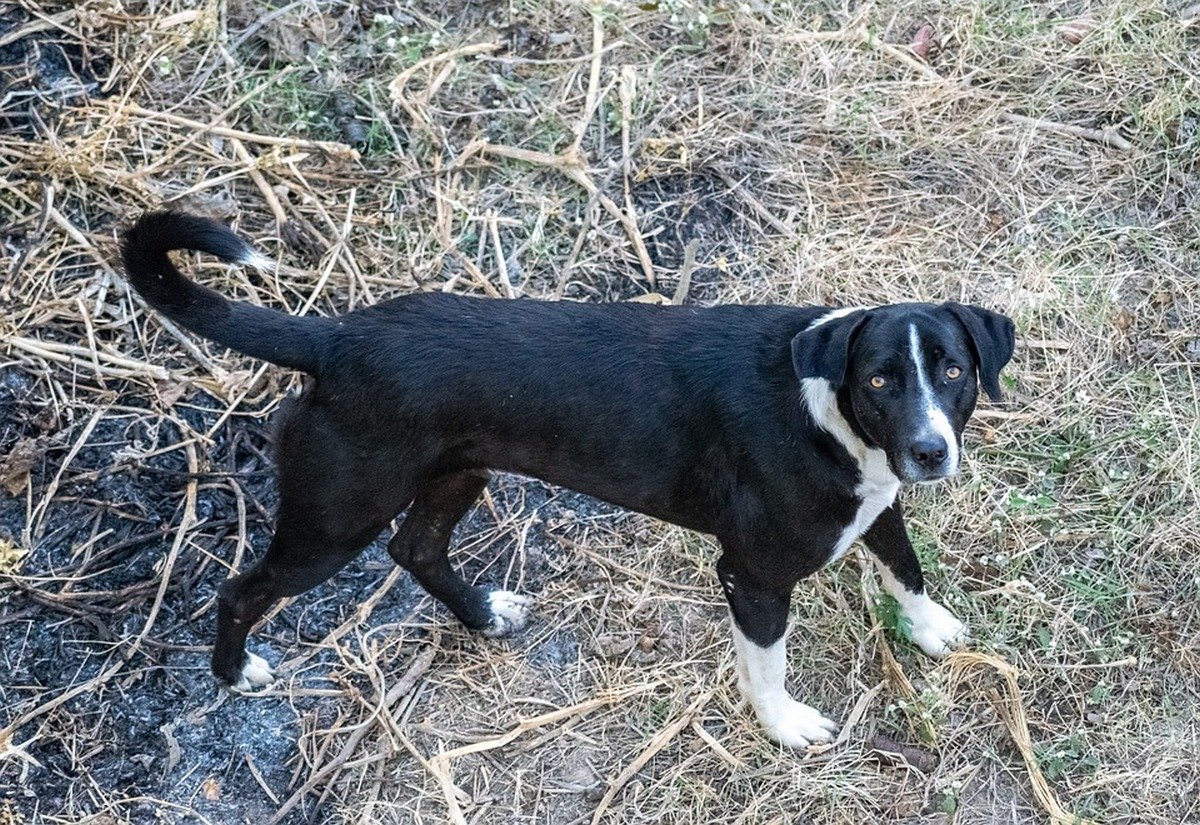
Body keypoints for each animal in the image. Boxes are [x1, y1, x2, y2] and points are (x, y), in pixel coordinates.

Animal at [119, 211, 1012, 748]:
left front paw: (932, 629)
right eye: (881, 379)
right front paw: (785, 725)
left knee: (417, 549)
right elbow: (768, 664)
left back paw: (483, 614)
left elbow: (905, 567)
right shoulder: (750, 574)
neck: (823, 402)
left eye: (954, 370)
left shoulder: (875, 502)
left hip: (455, 475)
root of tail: (332, 340)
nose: (930, 451)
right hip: (336, 515)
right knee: (242, 588)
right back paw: (235, 672)